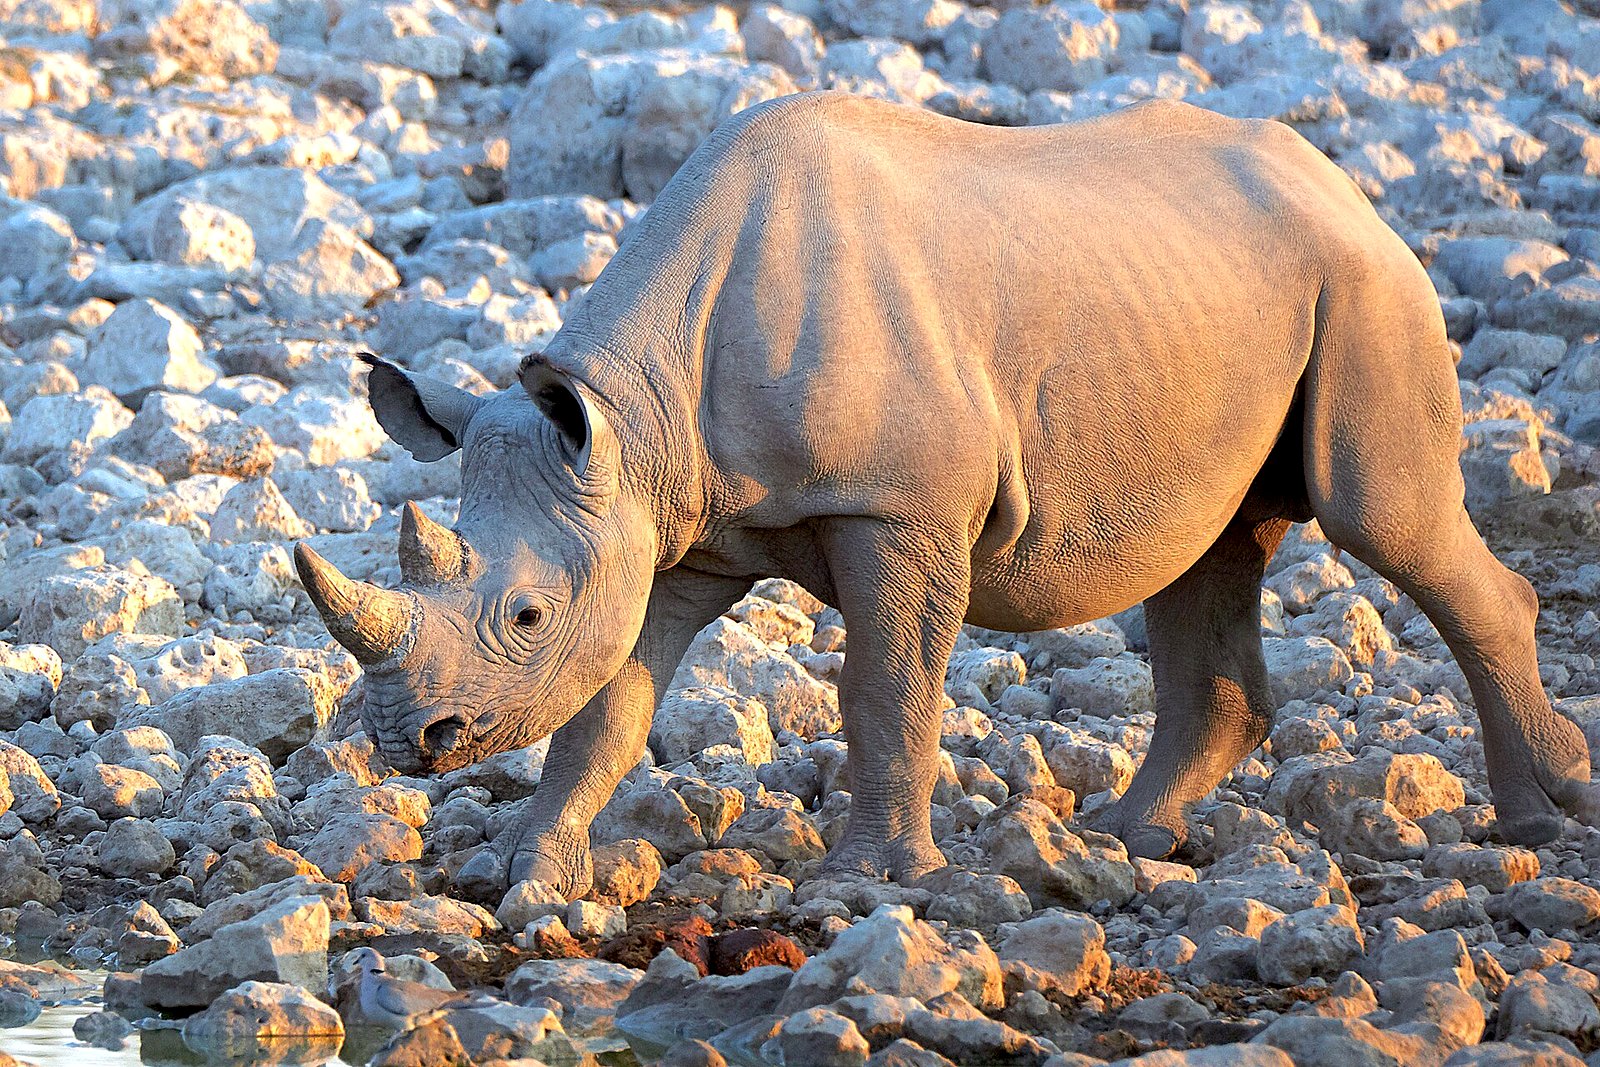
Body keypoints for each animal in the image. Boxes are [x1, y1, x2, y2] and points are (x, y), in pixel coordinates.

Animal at [297, 93, 1598, 900]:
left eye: (522, 614)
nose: (411, 743)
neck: (636, 412)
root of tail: (1344, 186)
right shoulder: (662, 526)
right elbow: (607, 708)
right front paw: (526, 871)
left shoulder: (897, 508)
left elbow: (886, 687)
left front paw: (870, 879)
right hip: (1229, 294)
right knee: (1213, 547)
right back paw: (1124, 838)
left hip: (1367, 285)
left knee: (1384, 520)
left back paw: (1541, 819)